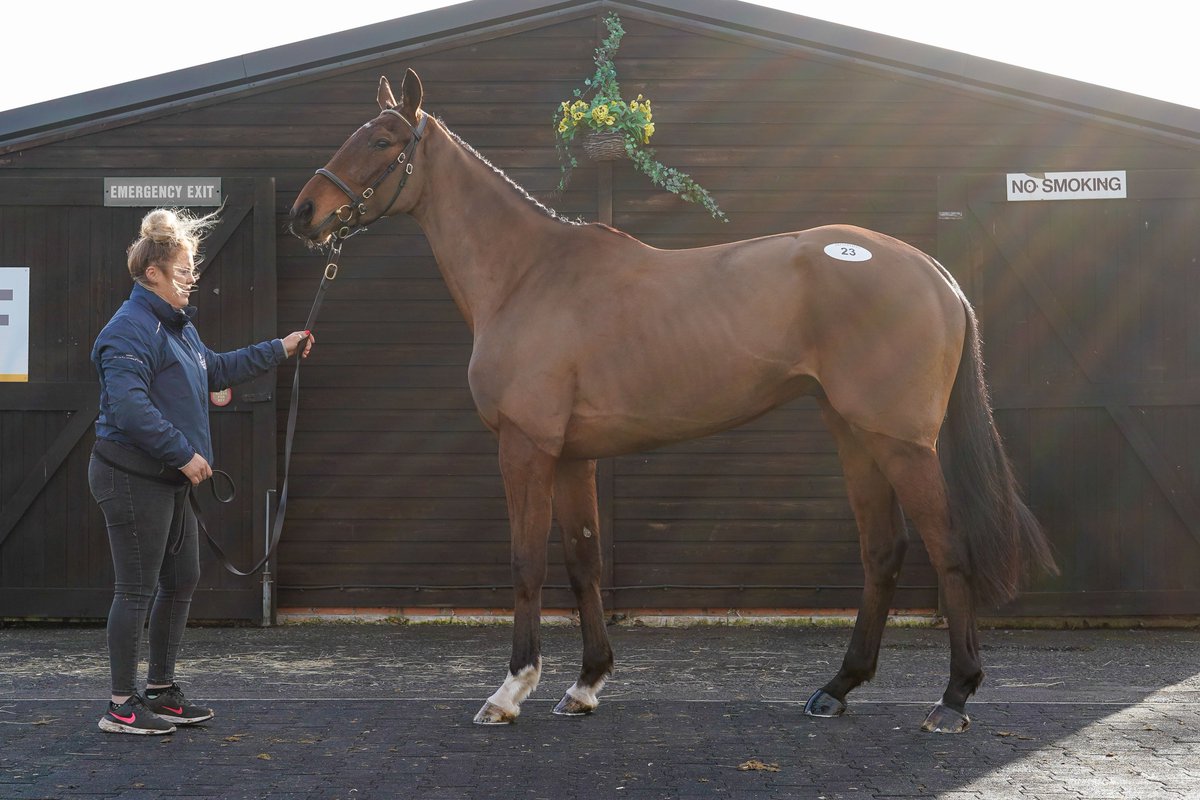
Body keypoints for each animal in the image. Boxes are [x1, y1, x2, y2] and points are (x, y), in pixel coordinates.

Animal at [285, 71, 1056, 734]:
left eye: (381, 140)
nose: (304, 214)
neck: (528, 274)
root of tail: (935, 273)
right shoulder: (573, 456)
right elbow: (583, 561)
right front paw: (585, 684)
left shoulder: (525, 445)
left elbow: (526, 562)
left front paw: (509, 691)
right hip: (853, 431)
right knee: (882, 550)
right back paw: (836, 689)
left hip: (900, 441)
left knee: (946, 545)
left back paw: (953, 698)